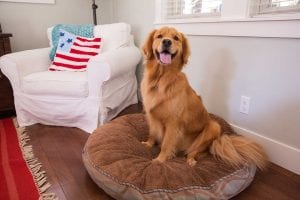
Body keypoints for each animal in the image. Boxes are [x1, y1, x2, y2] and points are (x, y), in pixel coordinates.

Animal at [141, 26, 268, 169]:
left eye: (176, 38)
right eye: (159, 36)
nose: (167, 42)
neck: (160, 79)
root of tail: (216, 142)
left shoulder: (173, 123)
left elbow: (166, 144)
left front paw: (160, 160)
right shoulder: (151, 115)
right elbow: (152, 133)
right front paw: (148, 144)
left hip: (214, 127)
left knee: (194, 152)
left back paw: (191, 161)